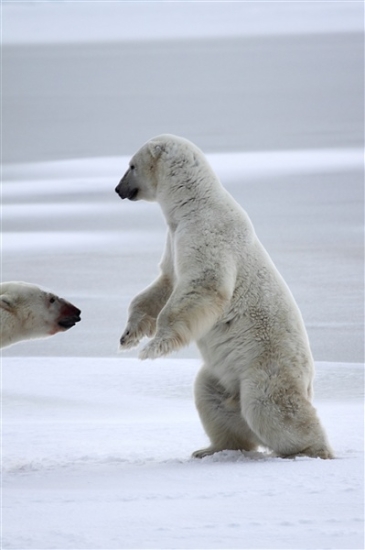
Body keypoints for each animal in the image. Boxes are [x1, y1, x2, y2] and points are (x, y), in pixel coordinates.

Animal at [114, 135, 332, 462]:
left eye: (131, 165)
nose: (118, 189)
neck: (194, 202)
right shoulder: (174, 239)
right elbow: (166, 282)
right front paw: (129, 335)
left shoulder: (207, 232)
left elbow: (205, 283)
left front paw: (153, 348)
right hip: (223, 375)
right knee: (209, 396)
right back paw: (210, 448)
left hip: (265, 367)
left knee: (271, 409)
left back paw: (312, 451)